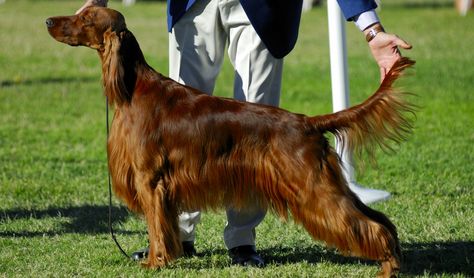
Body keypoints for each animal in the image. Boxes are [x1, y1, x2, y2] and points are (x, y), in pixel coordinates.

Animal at [46, 7, 412, 278]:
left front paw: (155, 262)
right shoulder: (162, 187)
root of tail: (306, 122)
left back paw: (386, 267)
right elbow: (164, 227)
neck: (132, 87)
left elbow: (155, 228)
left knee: (368, 225)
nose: (48, 21)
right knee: (380, 220)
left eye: (85, 18)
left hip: (314, 188)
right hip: (328, 184)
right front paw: (166, 257)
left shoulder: (150, 180)